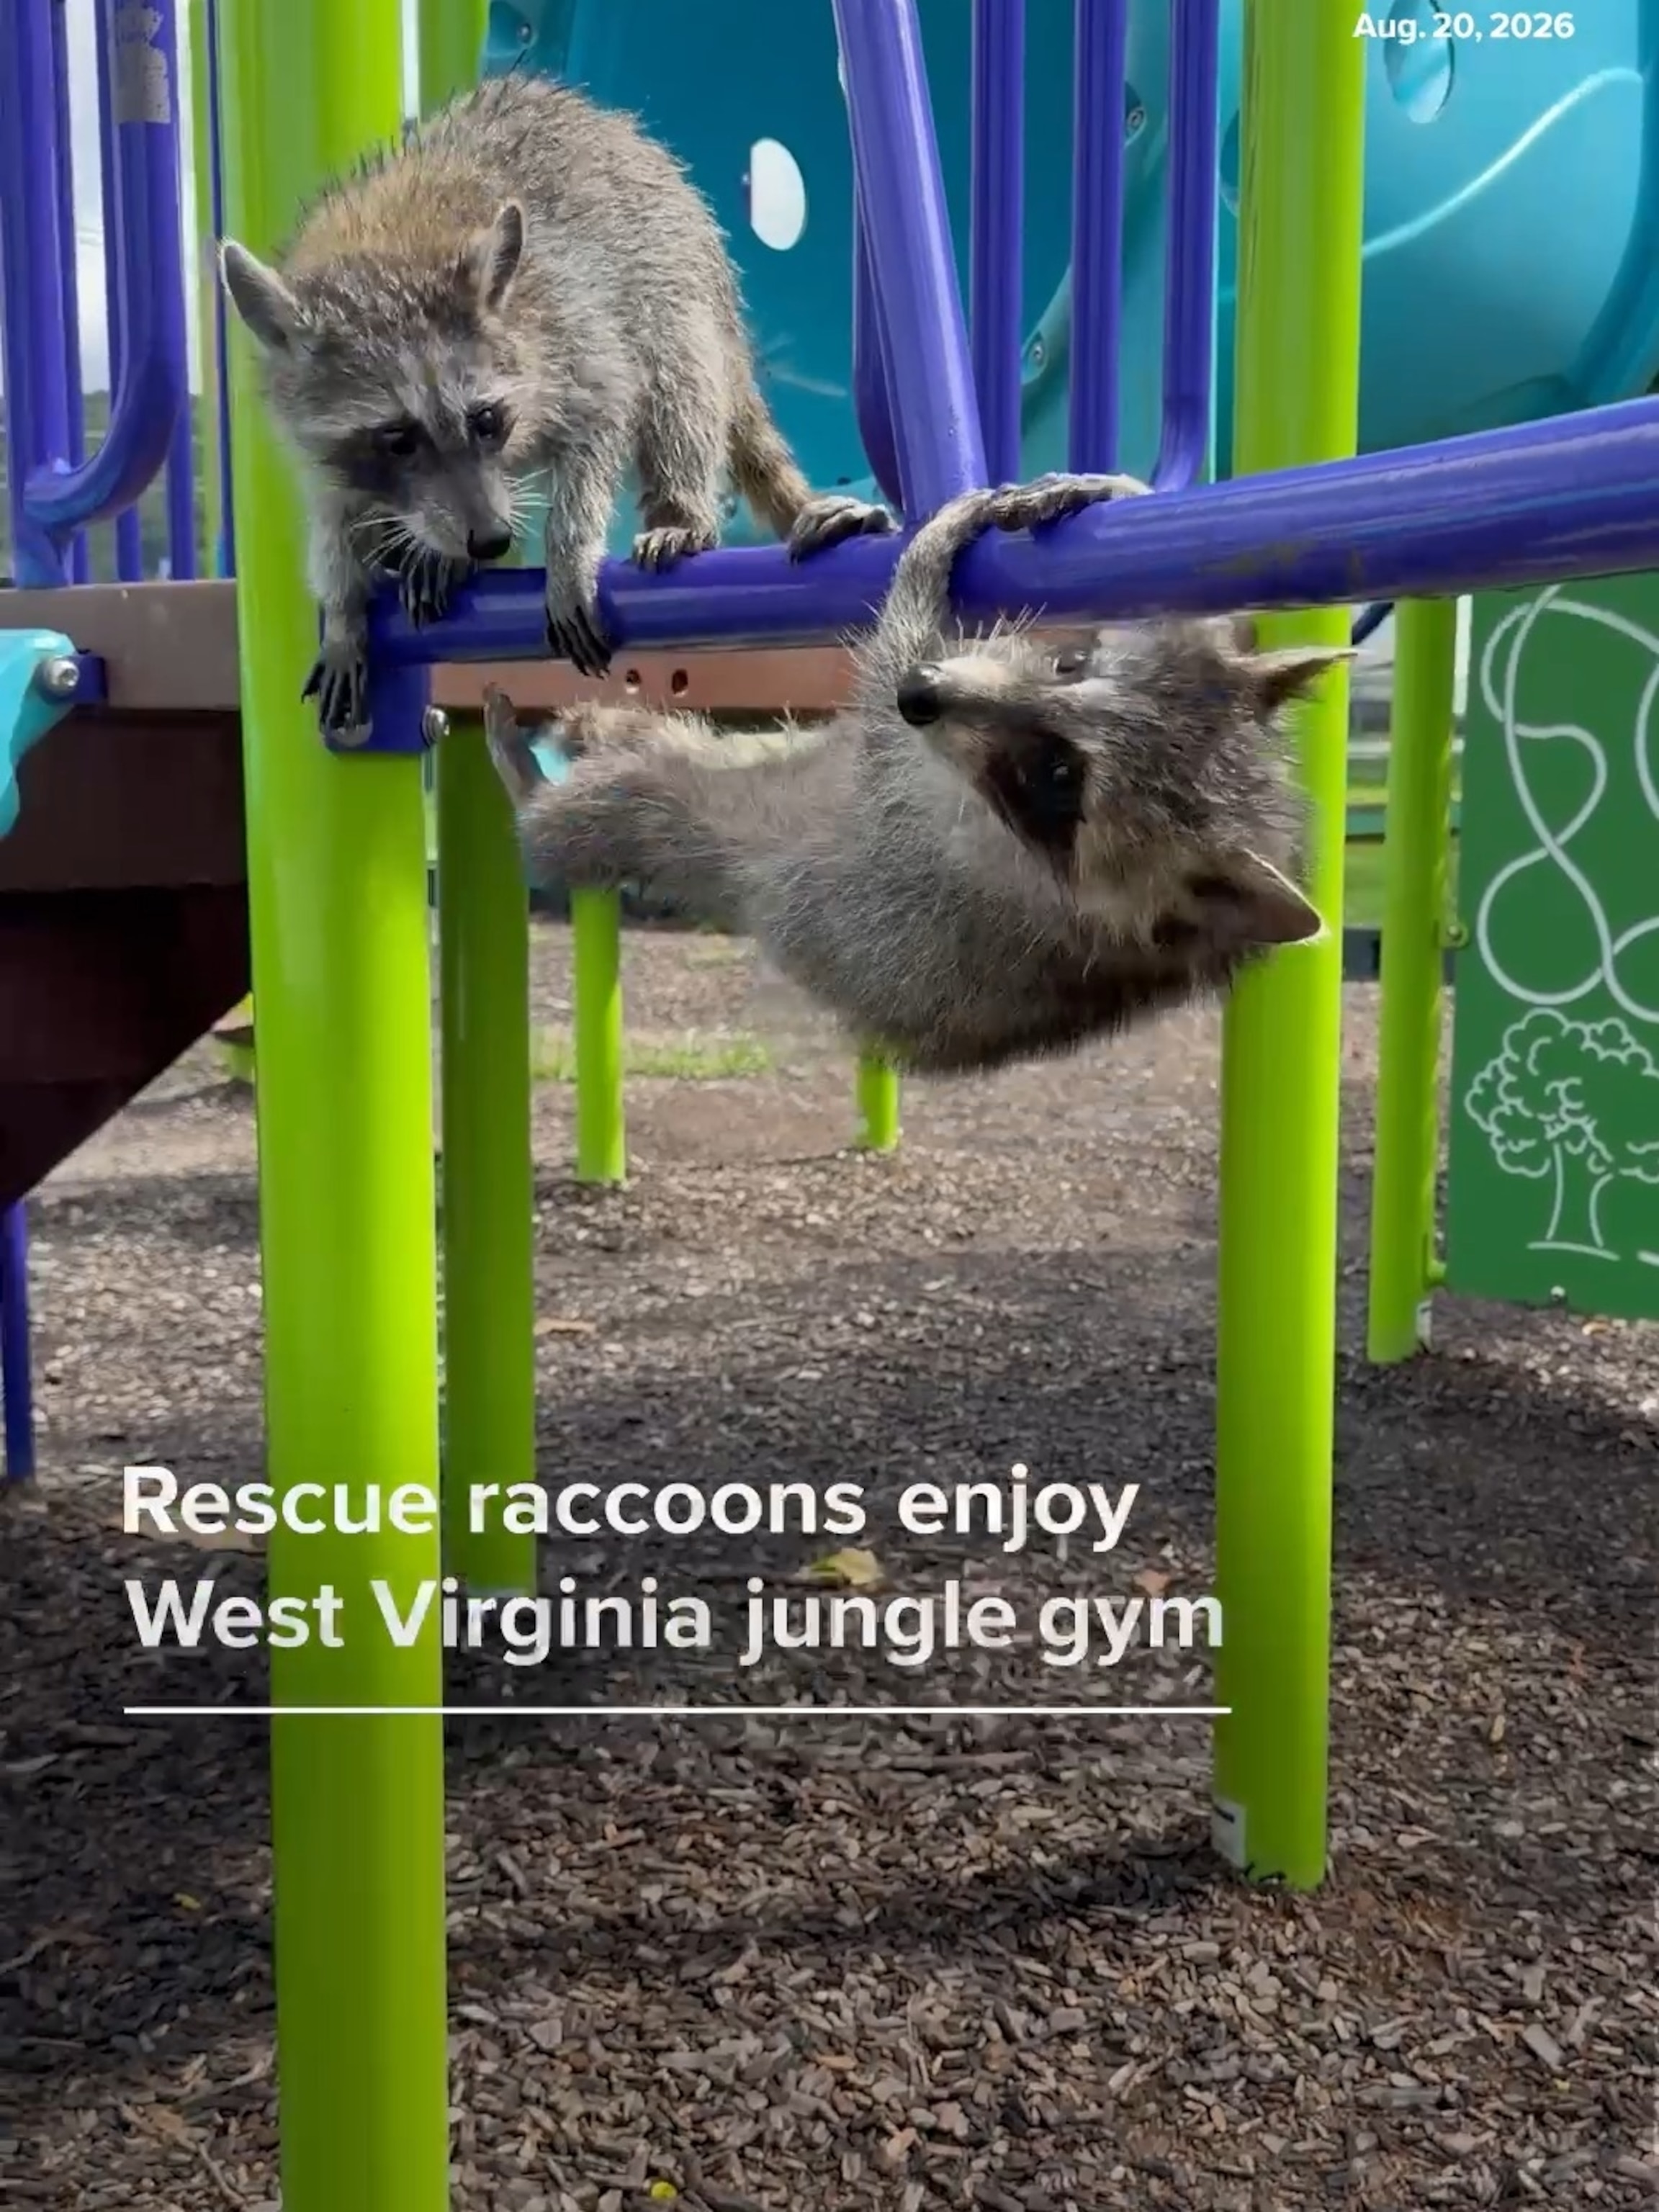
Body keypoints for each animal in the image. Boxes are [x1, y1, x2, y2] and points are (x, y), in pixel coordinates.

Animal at [218, 71, 890, 738]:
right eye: (398, 439)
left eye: (485, 420)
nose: (491, 538)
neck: (392, 248)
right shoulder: (317, 432)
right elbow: (333, 514)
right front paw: (344, 607)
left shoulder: (568, 326)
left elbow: (604, 415)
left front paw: (566, 548)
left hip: (678, 285)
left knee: (680, 390)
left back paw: (680, 508)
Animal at [481, 472, 1345, 1077]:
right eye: (1070, 664)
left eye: (1056, 776)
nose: (923, 692)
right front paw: (1120, 488)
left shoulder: (934, 815)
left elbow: (885, 671)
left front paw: (926, 560)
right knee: (664, 740)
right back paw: (593, 727)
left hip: (693, 831)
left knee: (617, 804)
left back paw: (531, 788)